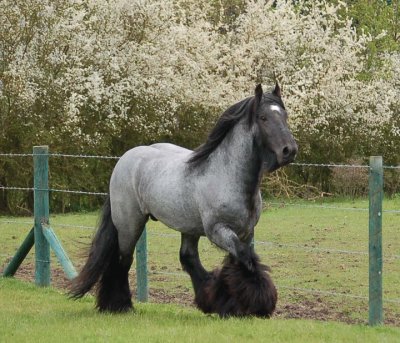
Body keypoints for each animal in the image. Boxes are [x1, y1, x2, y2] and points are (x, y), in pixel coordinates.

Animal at [70, 83, 298, 318]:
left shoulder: (245, 232)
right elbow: (247, 260)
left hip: (187, 226)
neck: (227, 175)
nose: (289, 150)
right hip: (129, 224)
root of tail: (124, 159)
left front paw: (232, 304)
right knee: (122, 260)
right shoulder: (218, 231)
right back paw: (119, 305)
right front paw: (255, 304)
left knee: (187, 257)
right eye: (263, 117)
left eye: (285, 115)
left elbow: (239, 263)